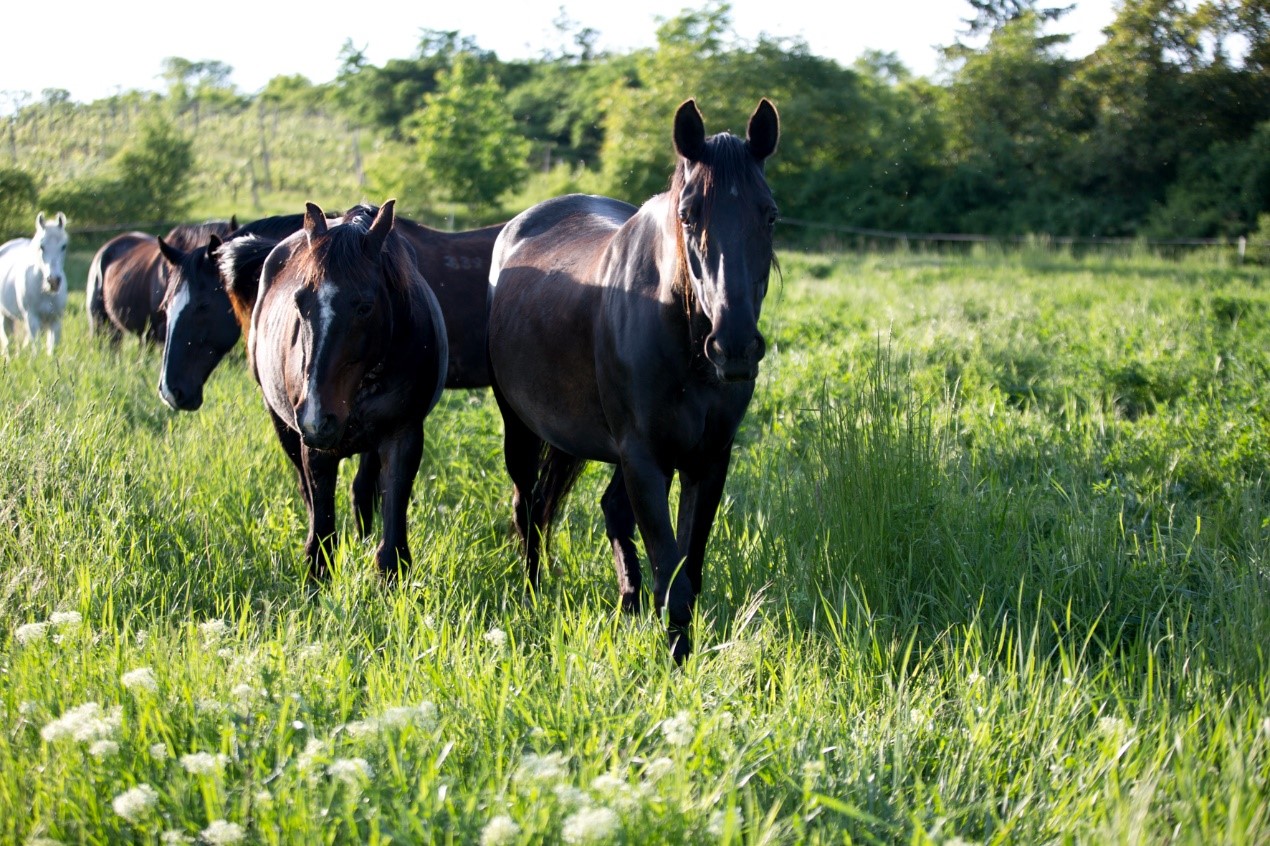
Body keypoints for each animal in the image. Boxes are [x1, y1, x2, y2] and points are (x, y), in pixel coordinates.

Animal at [0, 212, 71, 353]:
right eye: (41, 246)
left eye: (64, 246)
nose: (53, 281)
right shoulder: (31, 318)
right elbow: (36, 349)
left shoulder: (55, 320)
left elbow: (52, 350)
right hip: (5, 316)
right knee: (8, 343)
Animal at [247, 199, 447, 579]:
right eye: (300, 302)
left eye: (365, 306)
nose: (317, 417)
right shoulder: (315, 449)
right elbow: (321, 539)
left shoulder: (403, 436)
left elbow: (392, 545)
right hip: (282, 424)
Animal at [485, 99, 777, 660]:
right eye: (688, 214)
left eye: (769, 214)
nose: (734, 347)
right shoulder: (644, 458)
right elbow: (673, 577)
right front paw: (677, 662)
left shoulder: (707, 460)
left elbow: (689, 570)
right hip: (523, 428)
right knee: (528, 507)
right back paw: (534, 594)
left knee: (606, 509)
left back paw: (627, 604)